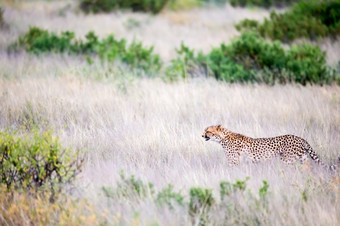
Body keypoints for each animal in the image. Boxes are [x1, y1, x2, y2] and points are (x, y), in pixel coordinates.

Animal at [202, 124, 334, 170]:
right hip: (303, 159)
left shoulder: (233, 162)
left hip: (286, 161)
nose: (202, 135)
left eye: (208, 131)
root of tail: (300, 138)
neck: (222, 138)